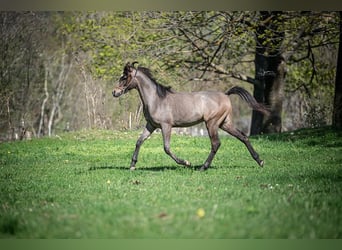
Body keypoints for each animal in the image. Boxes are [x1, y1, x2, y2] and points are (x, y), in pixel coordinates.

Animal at [113, 61, 270, 171]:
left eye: (124, 77)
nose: (115, 92)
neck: (156, 99)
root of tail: (226, 95)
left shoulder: (166, 125)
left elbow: (166, 148)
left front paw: (186, 163)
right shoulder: (151, 125)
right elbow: (139, 141)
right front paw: (132, 165)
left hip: (212, 123)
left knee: (216, 143)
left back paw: (203, 167)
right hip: (225, 123)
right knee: (243, 137)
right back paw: (260, 161)